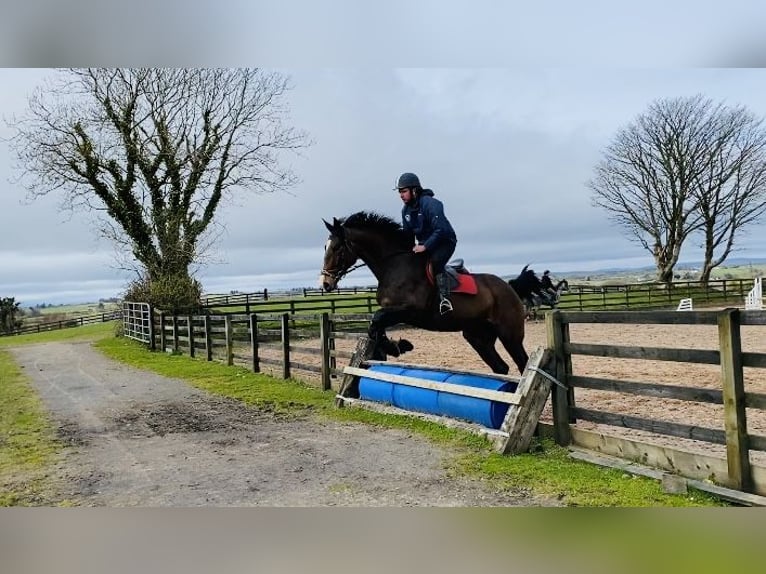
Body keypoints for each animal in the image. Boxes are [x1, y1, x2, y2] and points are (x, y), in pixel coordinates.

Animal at [320, 212, 529, 380]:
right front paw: (394, 347)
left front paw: (398, 346)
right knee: (501, 367)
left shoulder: (410, 310)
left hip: (509, 334)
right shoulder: (393, 311)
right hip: (478, 336)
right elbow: (375, 326)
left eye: (337, 248)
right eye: (325, 247)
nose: (325, 283)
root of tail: (509, 287)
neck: (394, 264)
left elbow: (377, 319)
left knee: (523, 363)